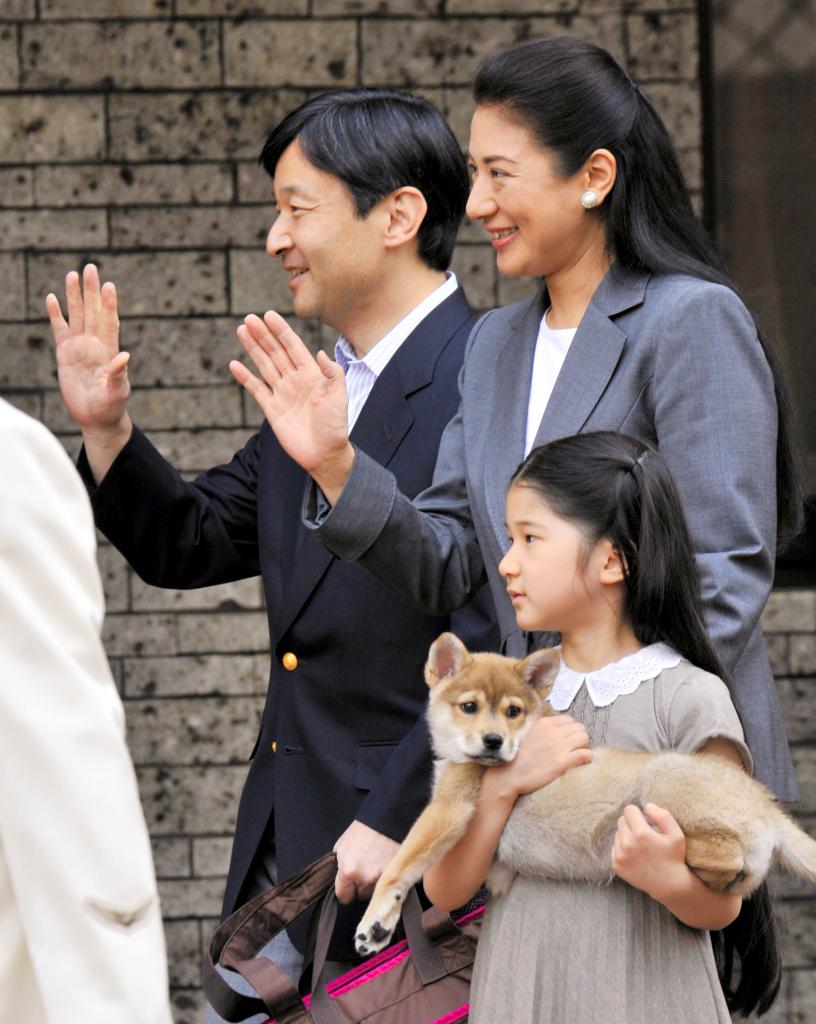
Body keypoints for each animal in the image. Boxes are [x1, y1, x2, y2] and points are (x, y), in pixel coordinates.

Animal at [354, 634, 814, 954]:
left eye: (513, 711)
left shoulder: (449, 808)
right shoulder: (485, 858)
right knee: (740, 874)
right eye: (469, 706)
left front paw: (375, 924)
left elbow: (399, 865)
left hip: (662, 775)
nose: (493, 742)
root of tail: (766, 804)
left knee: (725, 853)